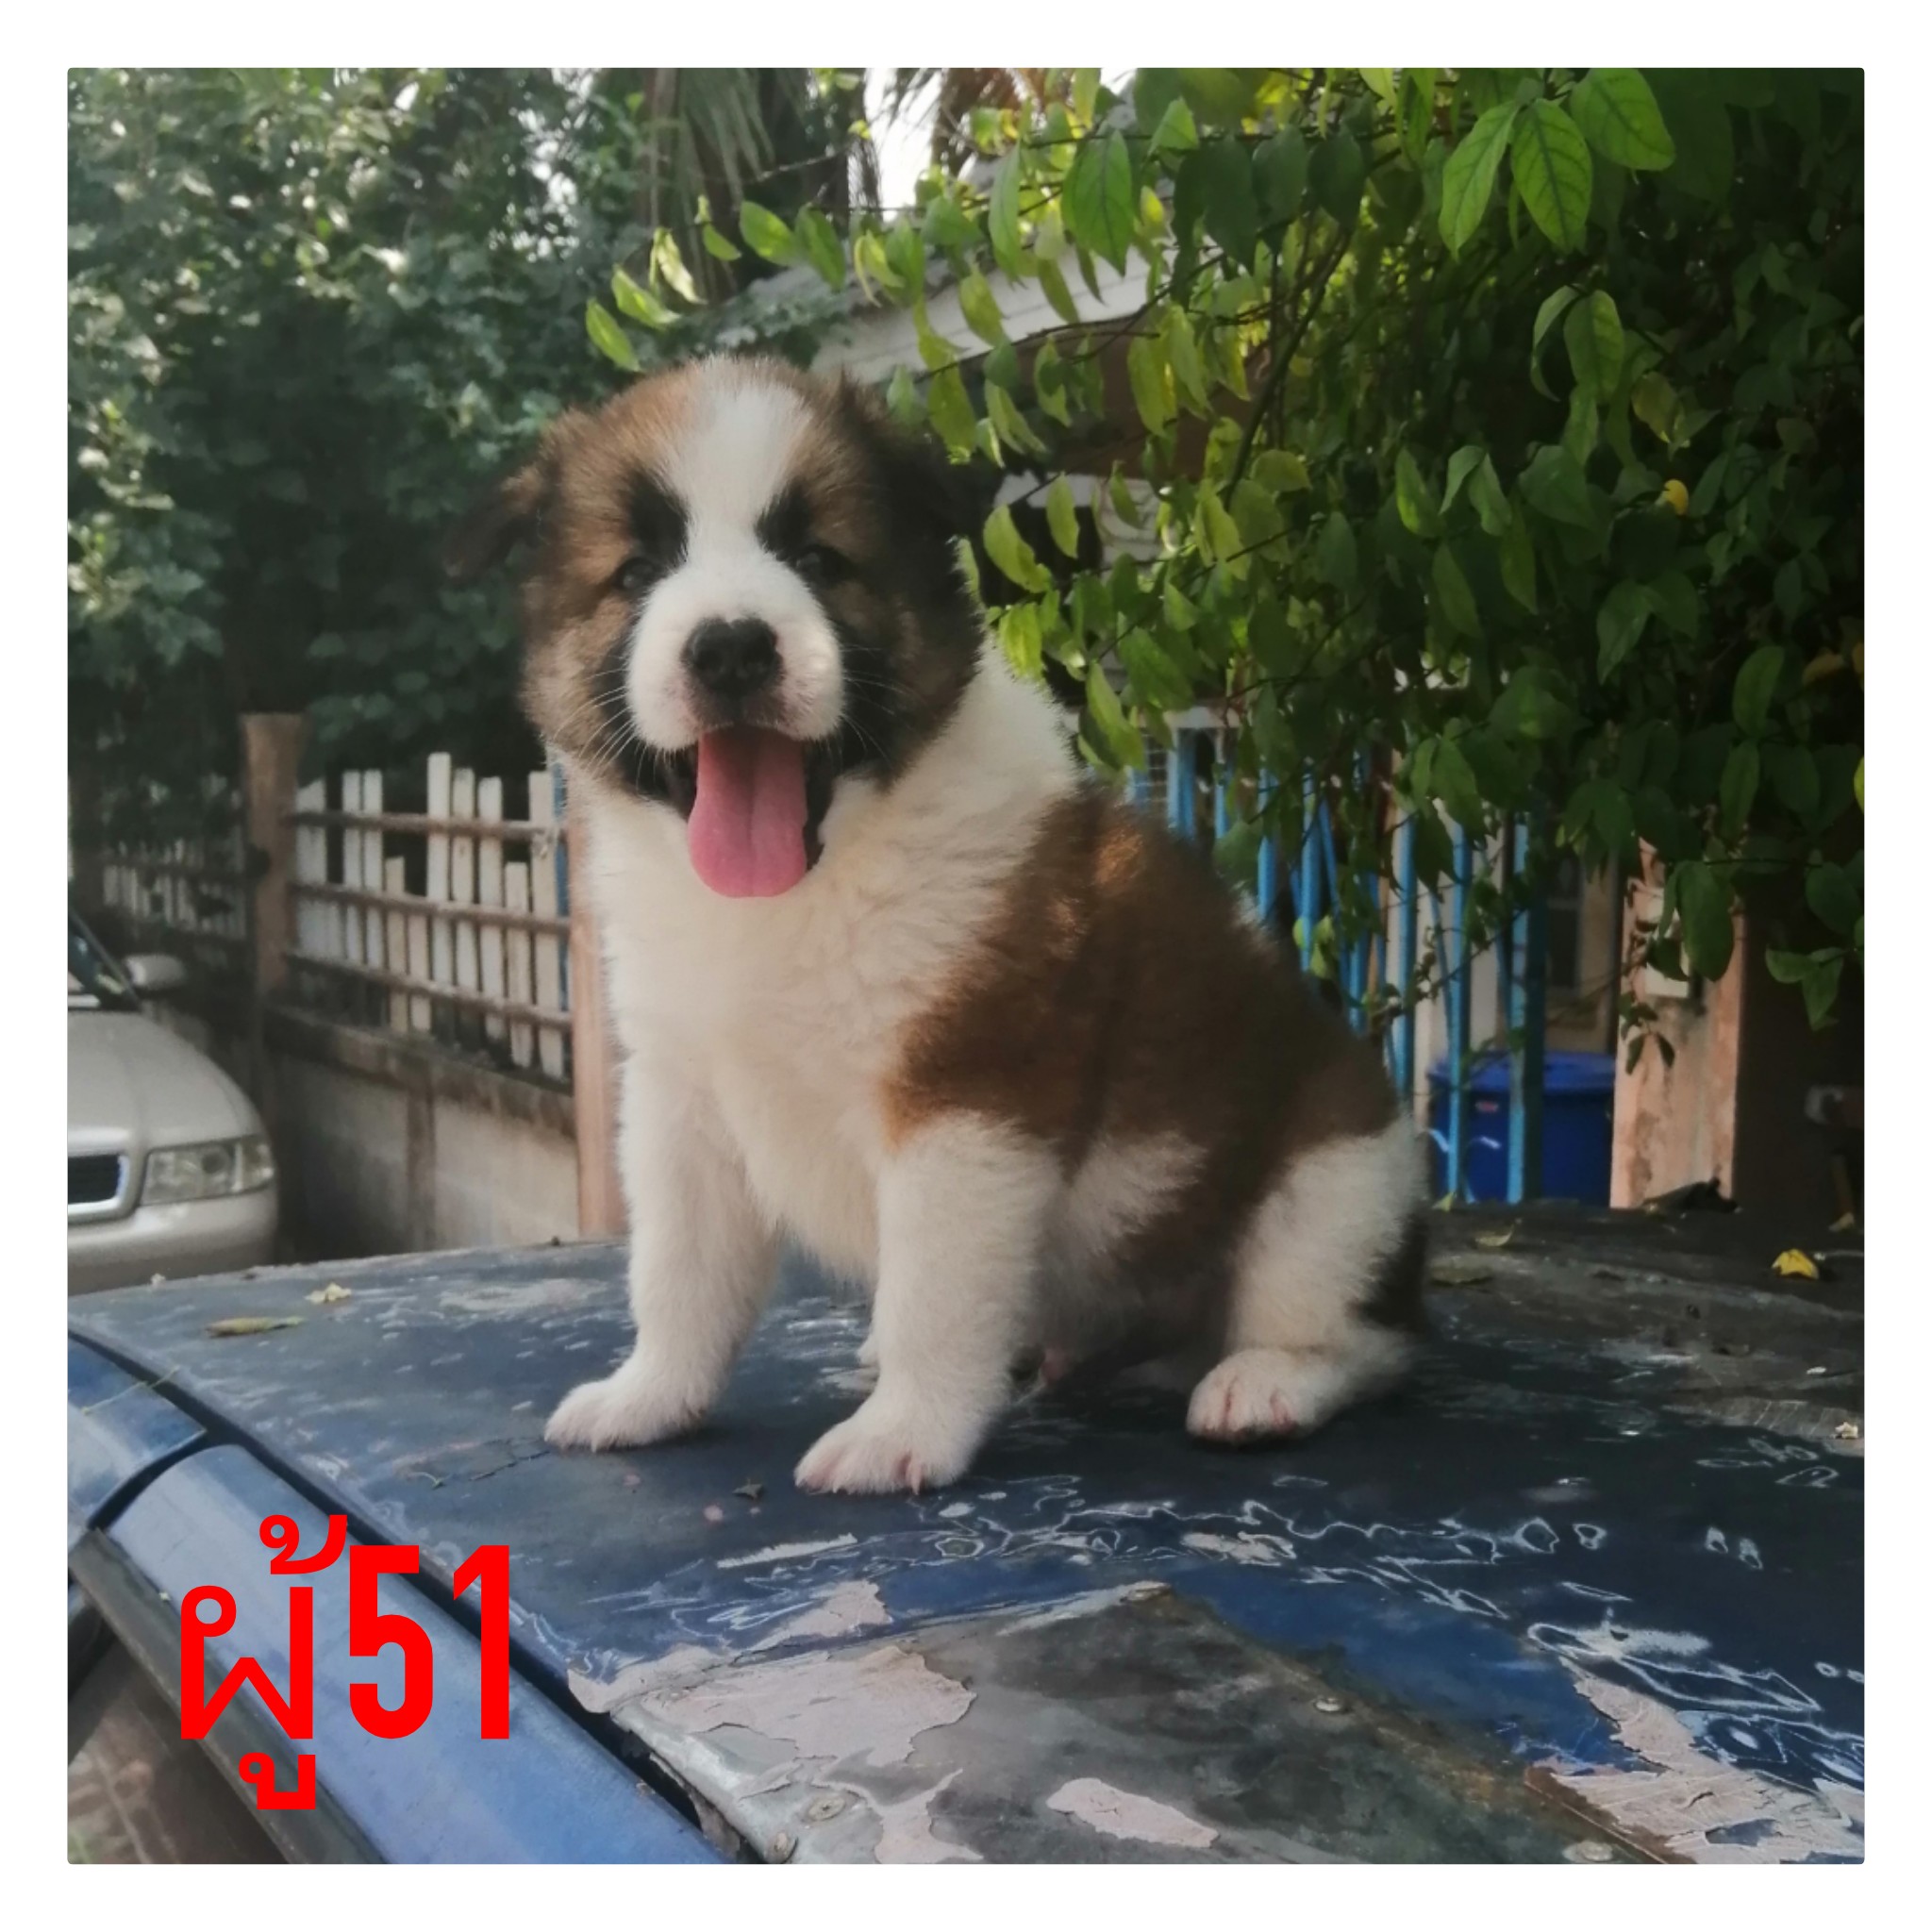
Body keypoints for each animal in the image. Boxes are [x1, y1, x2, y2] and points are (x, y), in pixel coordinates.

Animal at [447, 354, 1427, 1494]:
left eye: (820, 559)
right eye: (637, 571)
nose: (731, 648)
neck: (806, 882)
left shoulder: (966, 1102)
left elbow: (933, 1290)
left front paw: (902, 1430)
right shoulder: (682, 1101)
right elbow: (679, 1270)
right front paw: (651, 1394)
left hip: (1332, 1186)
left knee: (1361, 1334)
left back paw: (1266, 1379)